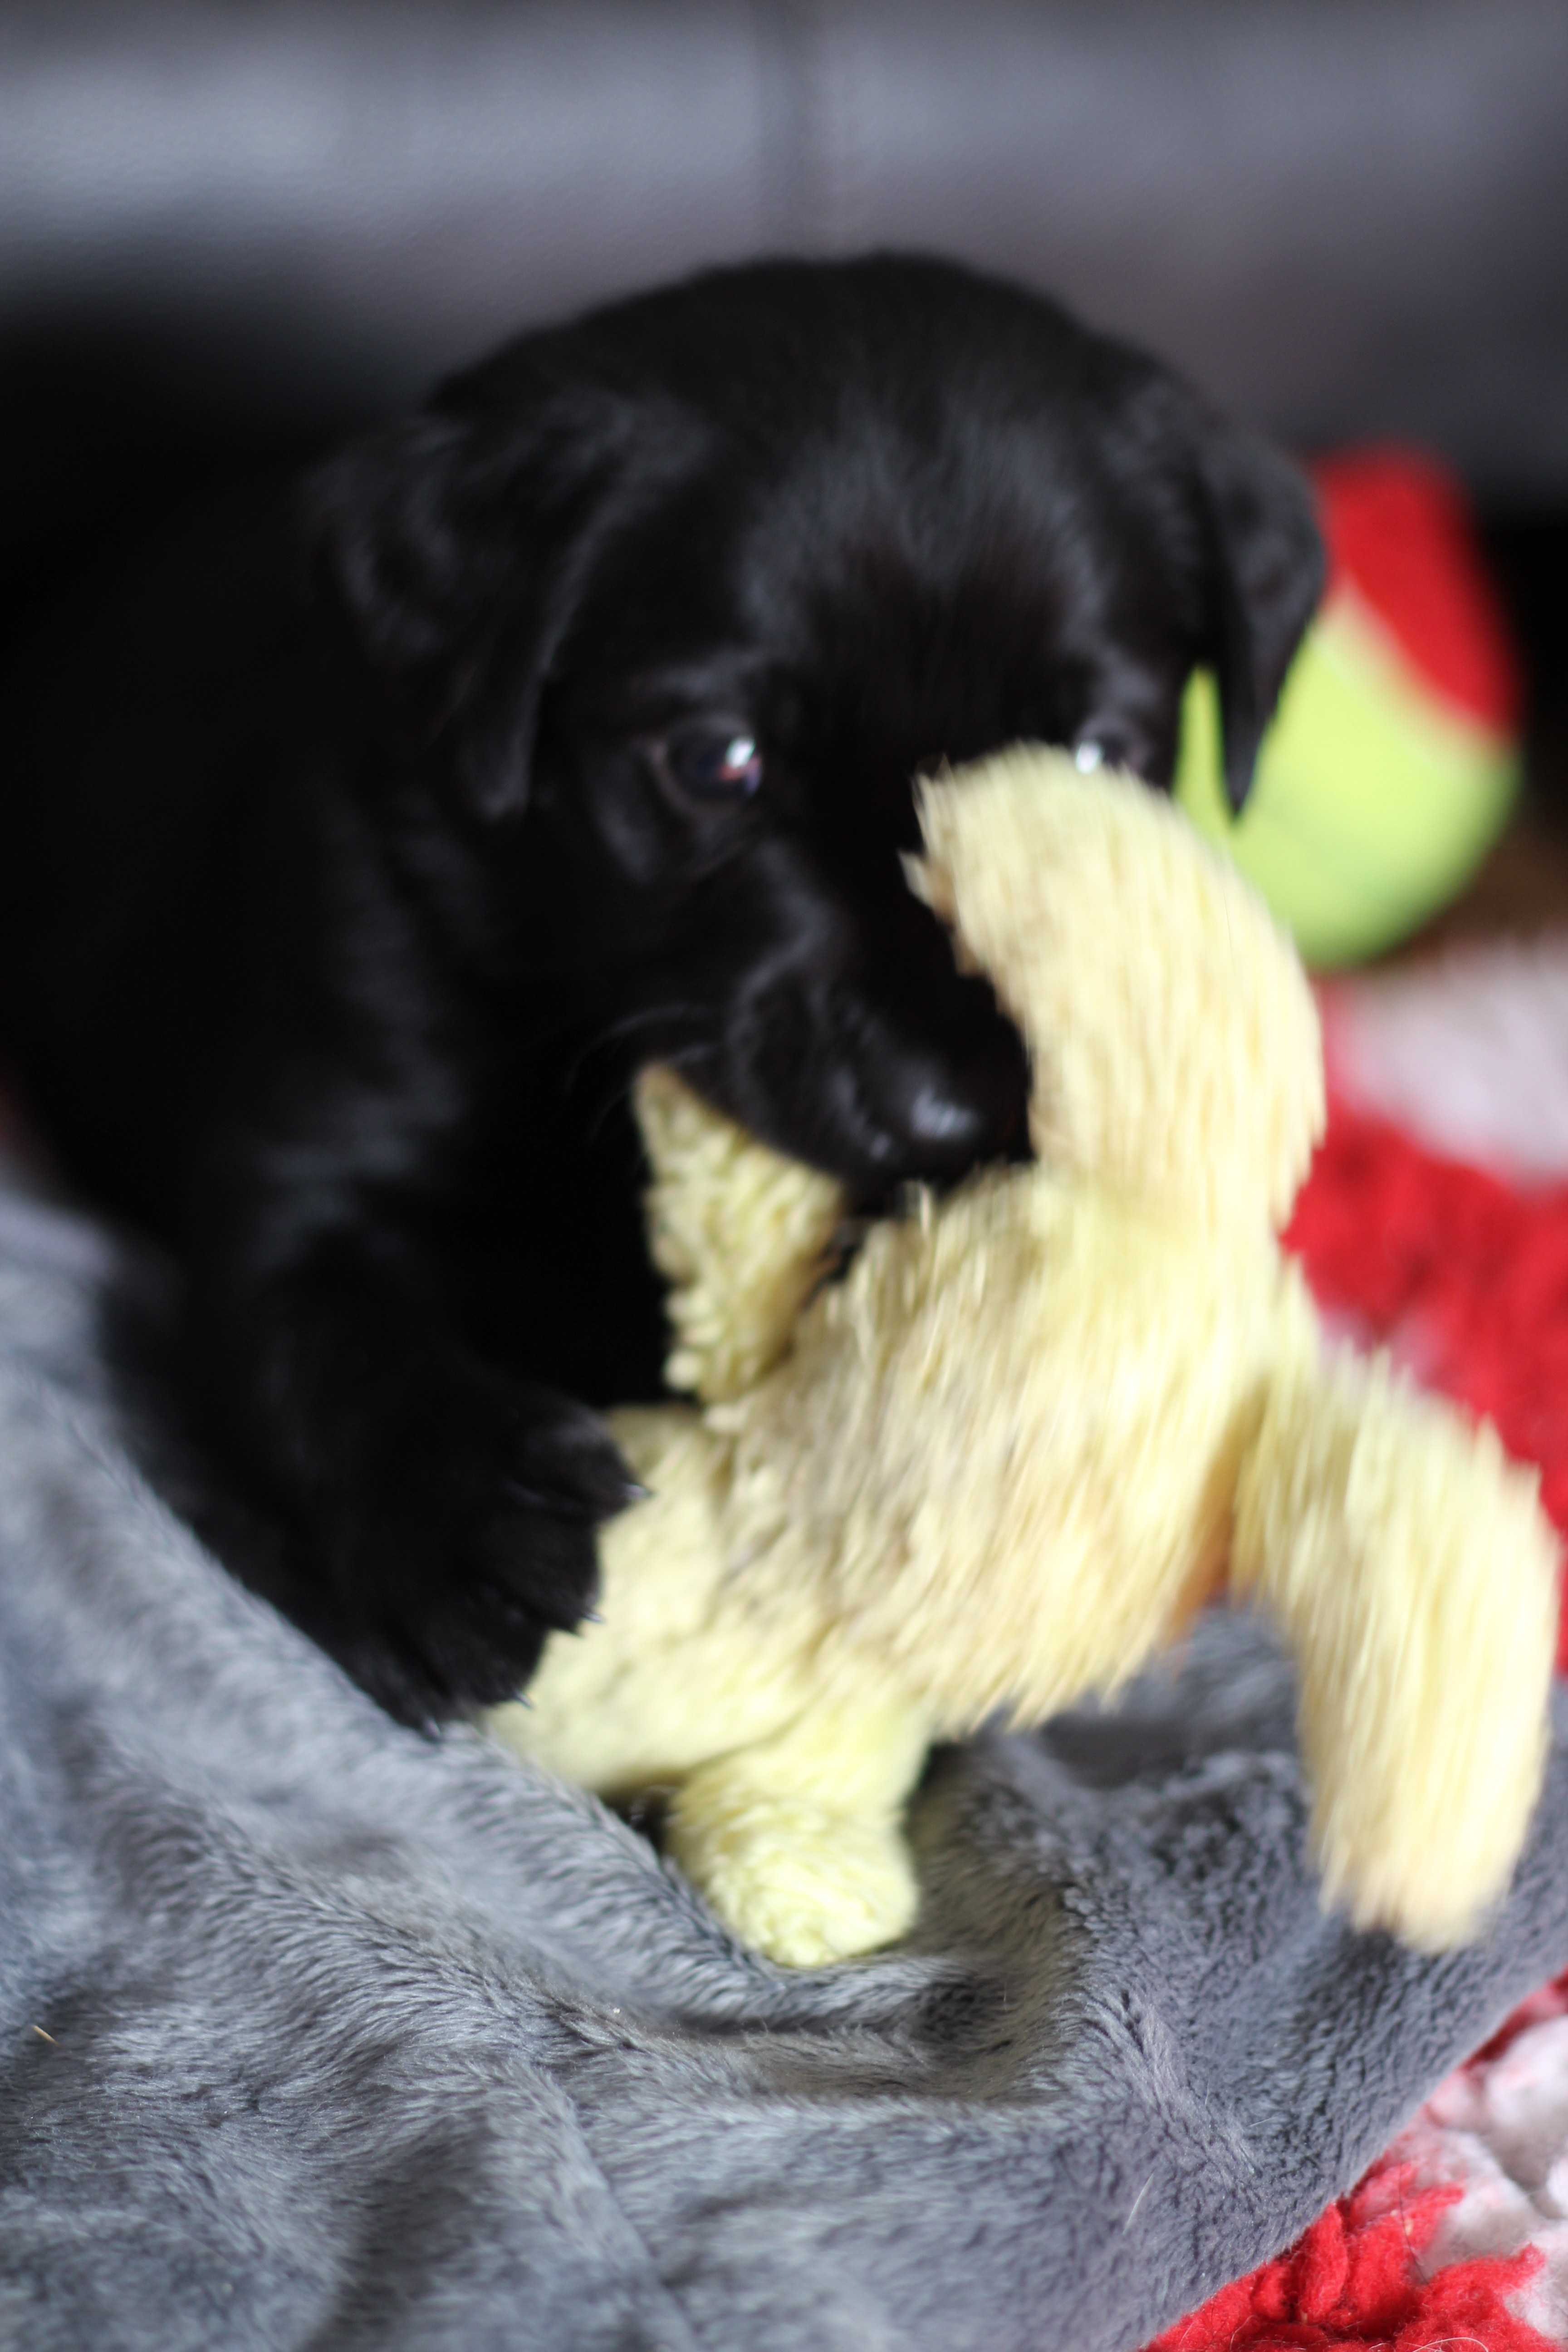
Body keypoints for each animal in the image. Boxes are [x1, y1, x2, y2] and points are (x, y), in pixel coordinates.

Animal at [0, 255, 1322, 1725]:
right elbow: (324, 1336)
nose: (949, 1114)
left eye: (1097, 758)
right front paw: (467, 1521)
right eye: (714, 762)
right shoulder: (305, 1155)